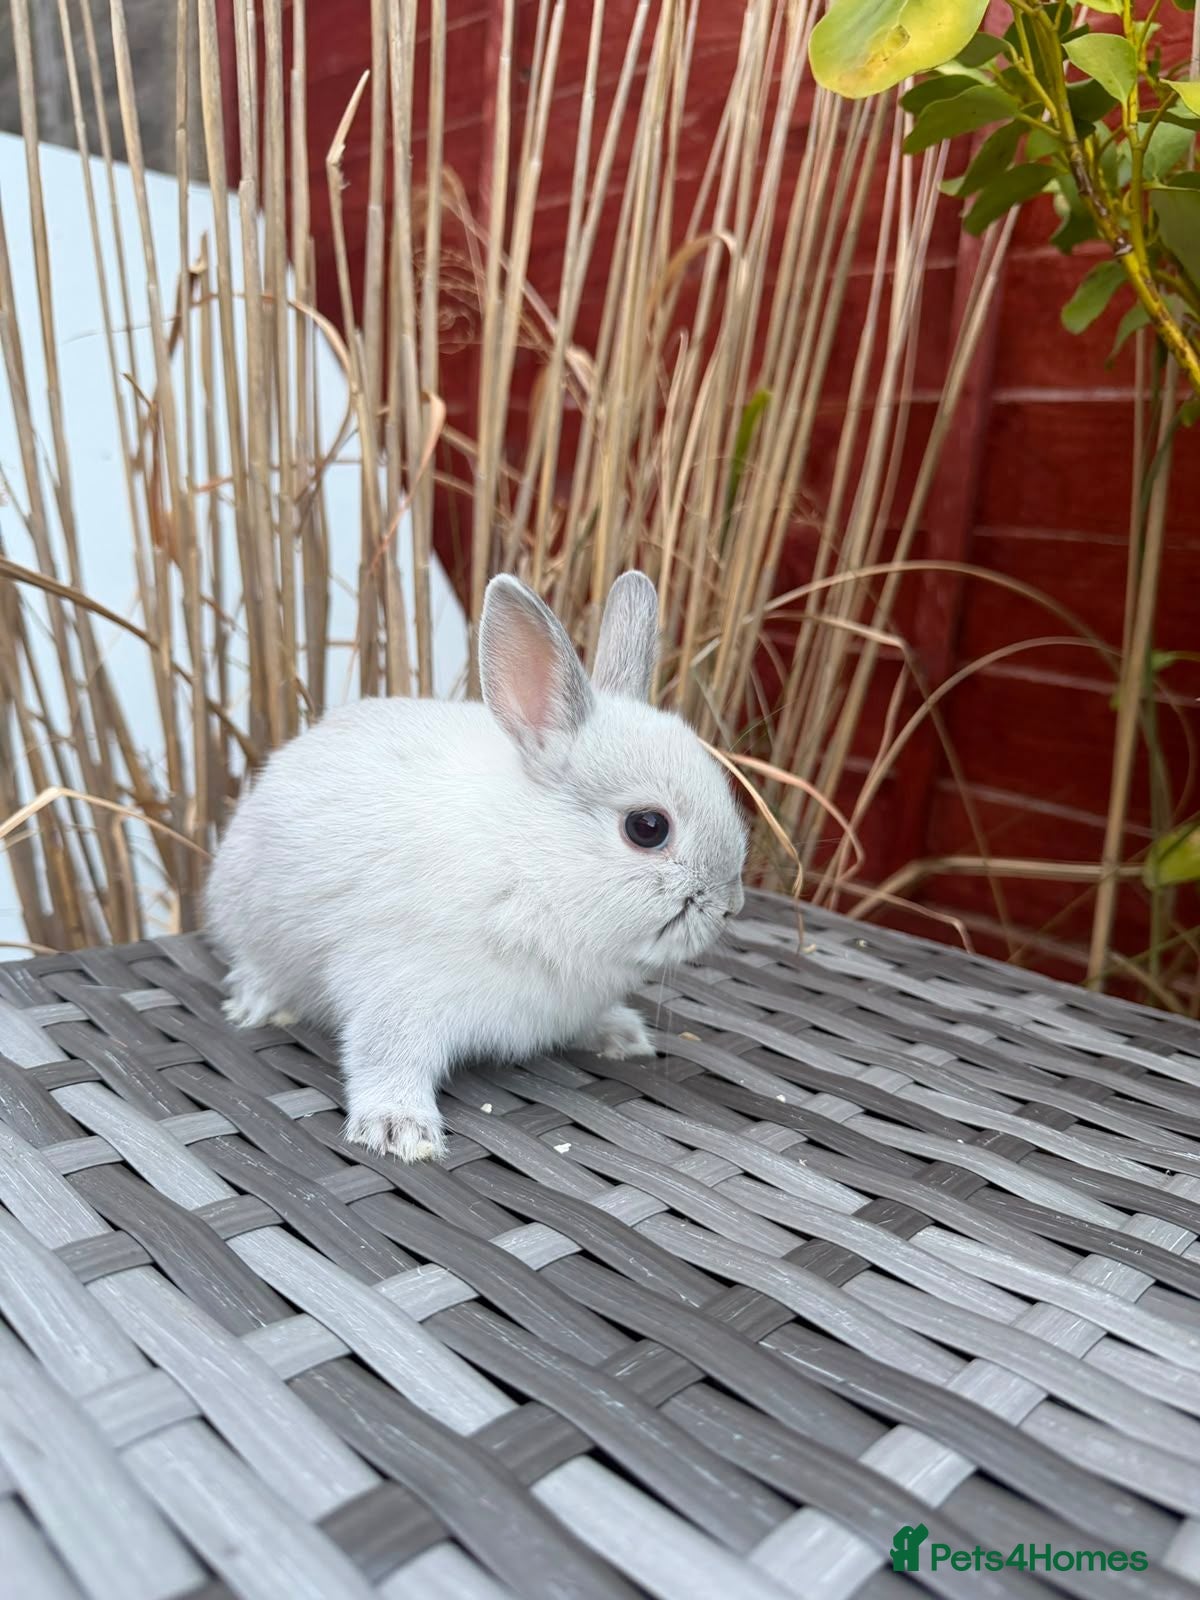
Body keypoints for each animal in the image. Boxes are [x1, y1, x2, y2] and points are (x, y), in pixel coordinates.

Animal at [204, 570, 748, 1162]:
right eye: (647, 827)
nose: (730, 905)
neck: (530, 866)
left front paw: (621, 1036)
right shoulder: (395, 987)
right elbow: (383, 1056)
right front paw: (400, 1131)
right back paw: (256, 1003)